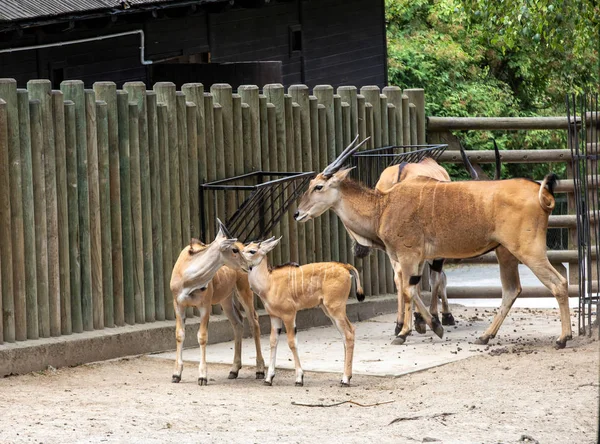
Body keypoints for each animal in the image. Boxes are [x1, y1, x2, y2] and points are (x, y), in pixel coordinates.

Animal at [169, 219, 262, 386]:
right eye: (234, 250)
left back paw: (260, 370)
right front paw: (176, 375)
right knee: (238, 322)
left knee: (254, 322)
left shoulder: (204, 306)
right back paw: (234, 370)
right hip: (226, 299)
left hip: (244, 291)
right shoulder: (178, 304)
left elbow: (202, 336)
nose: (249, 266)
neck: (188, 280)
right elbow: (180, 334)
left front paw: (202, 377)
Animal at [241, 238, 364, 386]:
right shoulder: (274, 316)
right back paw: (345, 377)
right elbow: (273, 342)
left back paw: (345, 379)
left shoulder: (289, 314)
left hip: (336, 309)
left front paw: (299, 378)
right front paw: (268, 378)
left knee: (349, 334)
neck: (269, 283)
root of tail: (345, 267)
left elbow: (292, 342)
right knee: (346, 334)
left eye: (252, 251)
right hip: (329, 311)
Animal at [296, 134, 572, 348]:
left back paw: (563, 338)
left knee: (557, 282)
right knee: (512, 290)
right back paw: (485, 336)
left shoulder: (409, 256)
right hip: (506, 254)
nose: (298, 213)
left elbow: (410, 289)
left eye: (319, 186)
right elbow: (412, 287)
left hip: (528, 251)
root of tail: (541, 193)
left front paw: (407, 332)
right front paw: (430, 326)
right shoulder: (415, 258)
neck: (382, 206)